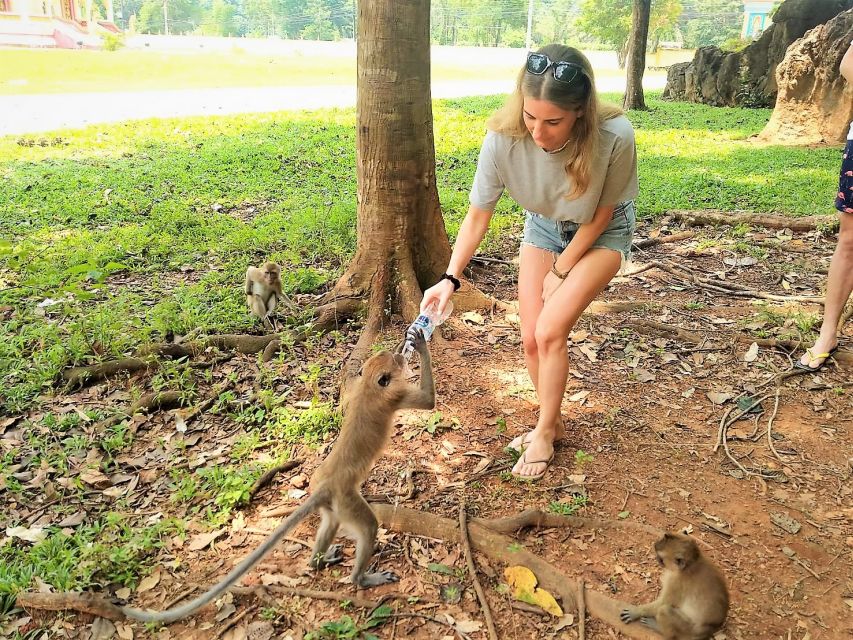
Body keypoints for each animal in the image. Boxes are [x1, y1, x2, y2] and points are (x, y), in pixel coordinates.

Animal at [120, 328, 436, 624]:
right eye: (395, 363)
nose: (400, 355)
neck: (369, 386)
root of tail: (325, 486)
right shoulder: (395, 395)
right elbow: (428, 402)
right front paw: (418, 343)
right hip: (347, 499)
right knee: (368, 526)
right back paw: (361, 578)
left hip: (333, 502)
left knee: (331, 523)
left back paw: (317, 562)